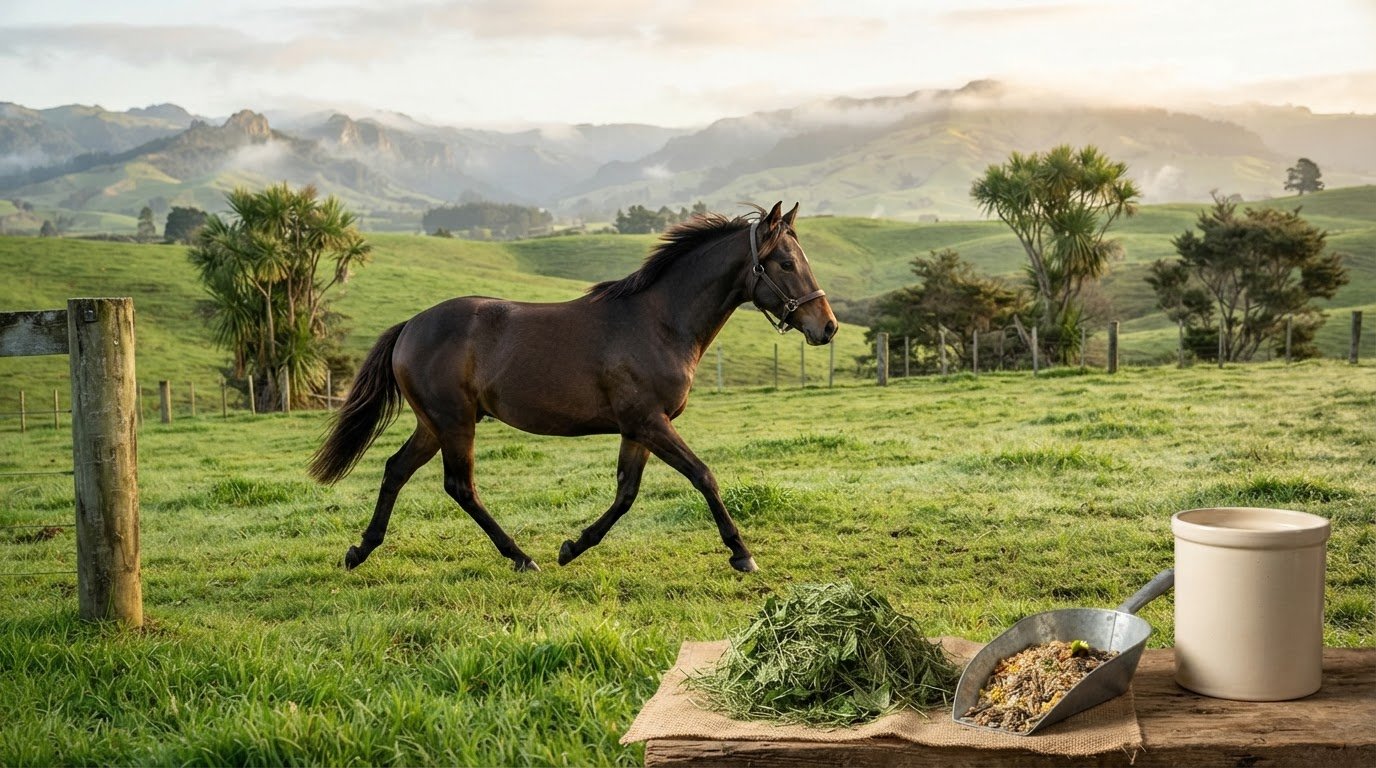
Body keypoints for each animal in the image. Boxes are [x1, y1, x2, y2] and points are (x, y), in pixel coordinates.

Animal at [308, 201, 837, 573]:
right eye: (785, 263)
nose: (827, 326)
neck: (659, 322)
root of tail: (411, 326)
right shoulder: (651, 422)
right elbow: (703, 475)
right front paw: (742, 553)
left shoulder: (637, 429)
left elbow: (625, 493)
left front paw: (573, 546)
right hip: (454, 423)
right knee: (460, 486)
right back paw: (520, 557)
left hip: (434, 424)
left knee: (396, 470)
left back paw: (360, 550)